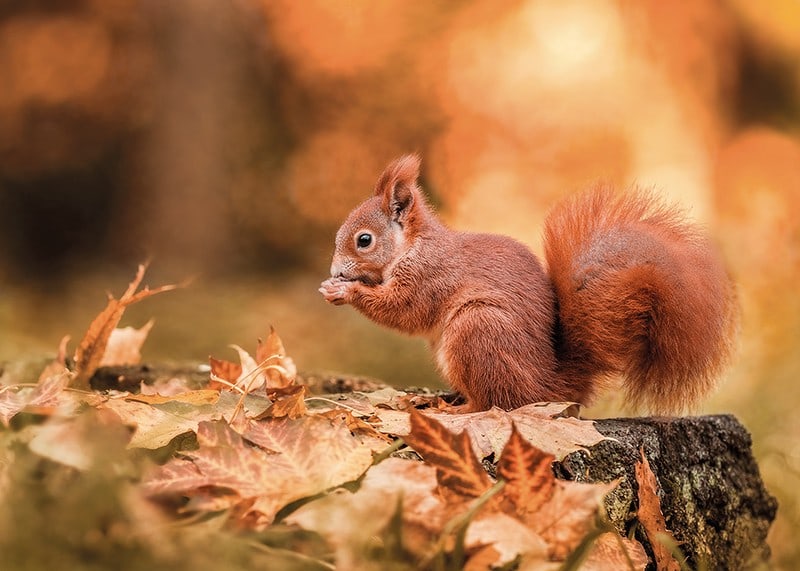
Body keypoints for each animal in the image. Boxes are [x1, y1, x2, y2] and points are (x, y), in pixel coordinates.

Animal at [319, 155, 739, 413]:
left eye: (363, 240)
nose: (336, 271)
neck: (413, 246)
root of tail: (548, 387)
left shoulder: (430, 276)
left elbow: (403, 310)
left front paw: (345, 291)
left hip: (478, 330)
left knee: (496, 403)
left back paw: (455, 410)